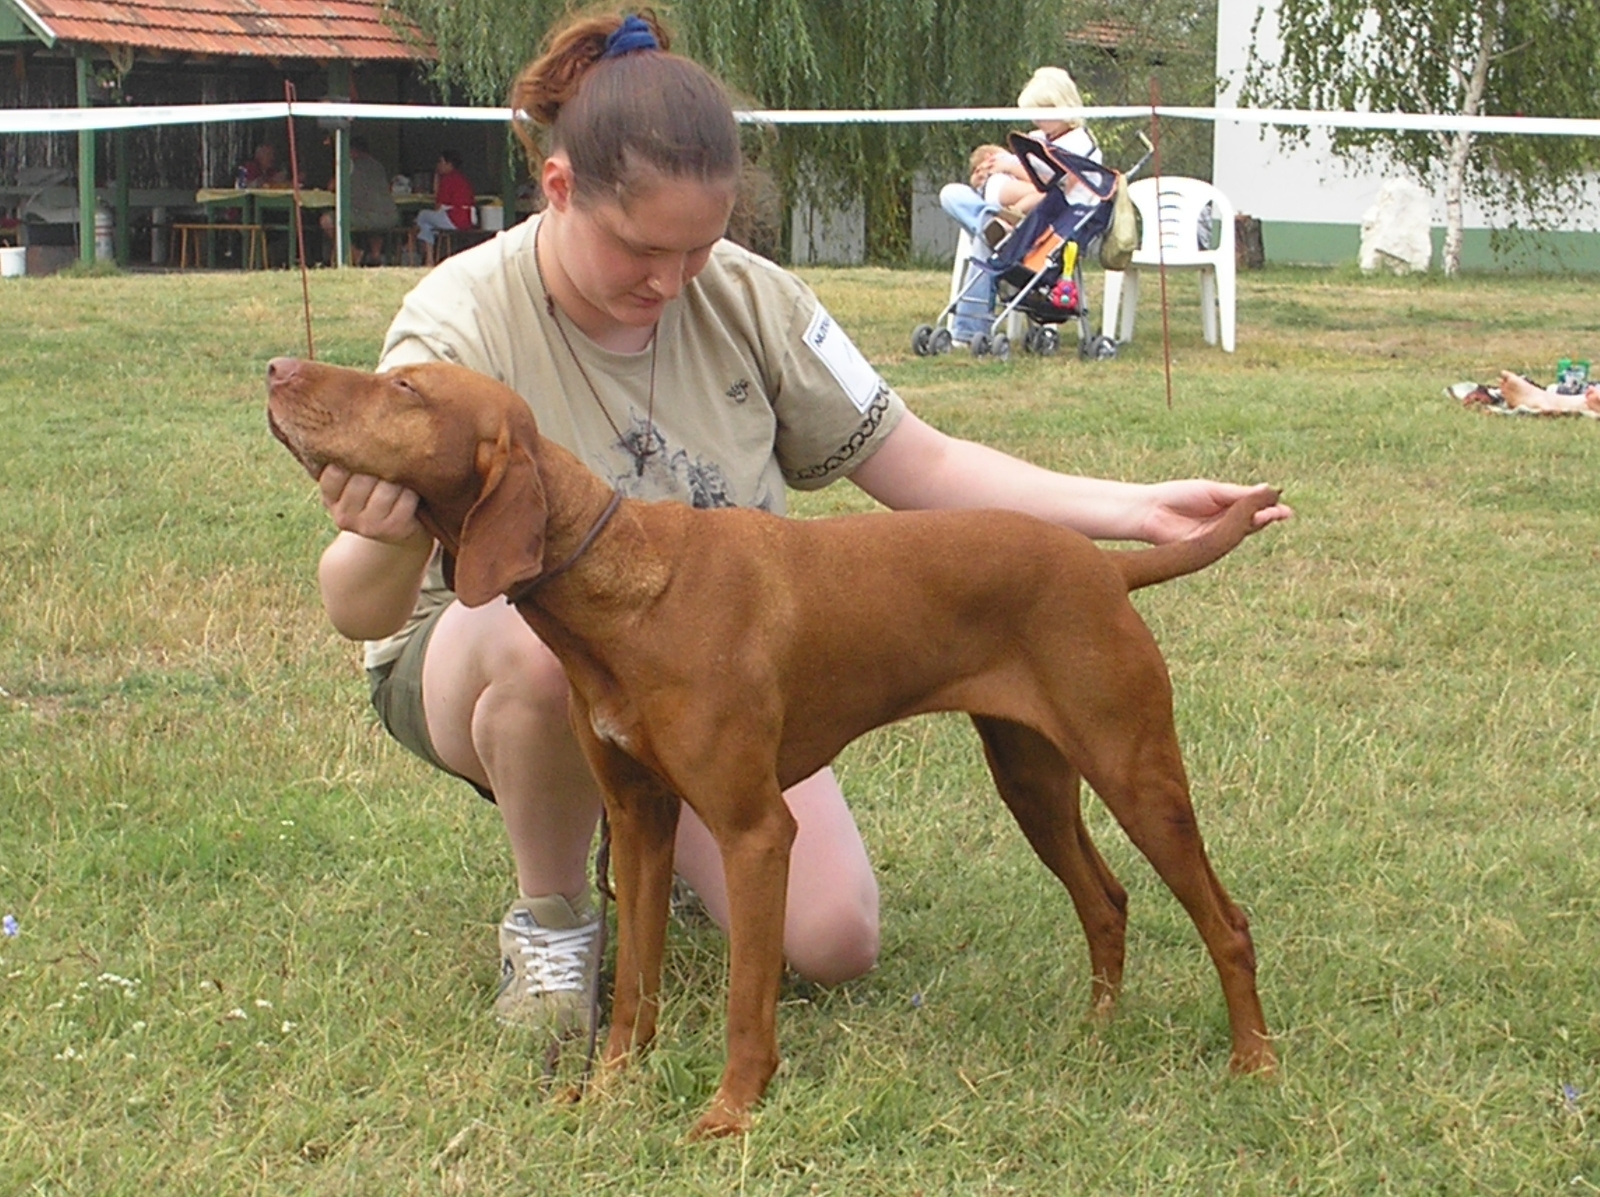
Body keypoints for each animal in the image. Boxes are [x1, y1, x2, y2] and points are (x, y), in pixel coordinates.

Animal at [268, 353, 1280, 1132]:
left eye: (406, 388)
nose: (277, 370)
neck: (623, 589)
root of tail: (1105, 567)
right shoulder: (639, 822)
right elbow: (634, 986)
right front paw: (611, 1088)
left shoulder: (756, 832)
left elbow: (747, 1000)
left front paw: (728, 1113)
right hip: (1031, 777)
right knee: (1106, 898)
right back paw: (1099, 1031)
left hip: (1134, 769)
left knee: (1224, 920)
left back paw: (1254, 1064)